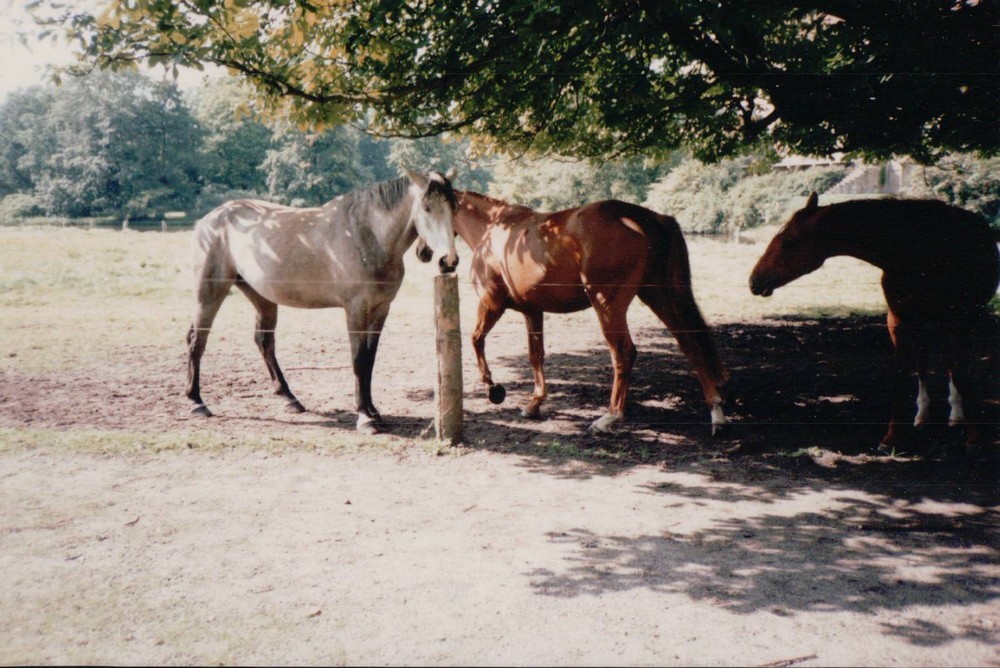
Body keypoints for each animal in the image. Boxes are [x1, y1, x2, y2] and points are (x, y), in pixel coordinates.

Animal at [188, 168, 460, 434]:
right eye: (427, 207)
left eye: (454, 206)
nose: (448, 261)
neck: (368, 234)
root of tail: (210, 219)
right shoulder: (356, 309)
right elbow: (358, 360)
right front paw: (364, 418)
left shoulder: (381, 309)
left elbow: (370, 361)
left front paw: (373, 411)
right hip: (209, 293)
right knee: (197, 340)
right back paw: (196, 402)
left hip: (262, 298)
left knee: (264, 342)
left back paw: (290, 399)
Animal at [454, 190, 728, 436]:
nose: (446, 260)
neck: (495, 227)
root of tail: (648, 218)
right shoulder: (533, 312)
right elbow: (536, 355)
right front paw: (533, 404)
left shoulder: (491, 303)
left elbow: (476, 339)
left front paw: (493, 388)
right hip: (659, 297)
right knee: (690, 343)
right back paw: (716, 413)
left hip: (608, 305)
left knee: (624, 352)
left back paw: (609, 418)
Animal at [752, 192, 1000, 448]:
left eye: (788, 242)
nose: (754, 281)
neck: (920, 250)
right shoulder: (900, 322)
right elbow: (901, 378)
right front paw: (891, 438)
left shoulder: (959, 320)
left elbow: (963, 373)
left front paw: (973, 438)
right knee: (925, 361)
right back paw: (923, 416)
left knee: (954, 362)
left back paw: (956, 414)